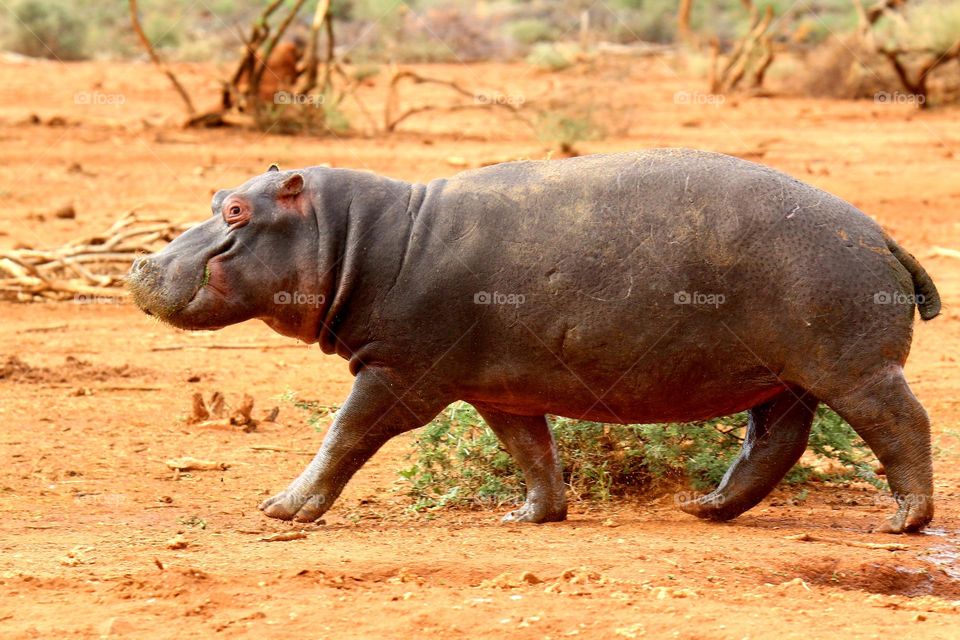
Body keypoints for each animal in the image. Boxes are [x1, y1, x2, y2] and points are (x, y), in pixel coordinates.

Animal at [128, 149, 940, 534]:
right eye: (215, 198)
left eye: (237, 209)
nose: (139, 264)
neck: (357, 235)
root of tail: (880, 232)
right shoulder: (497, 387)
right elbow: (531, 449)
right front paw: (531, 516)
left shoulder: (397, 372)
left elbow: (345, 434)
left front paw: (280, 509)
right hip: (783, 375)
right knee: (774, 441)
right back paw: (703, 508)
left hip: (851, 367)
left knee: (903, 422)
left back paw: (904, 522)